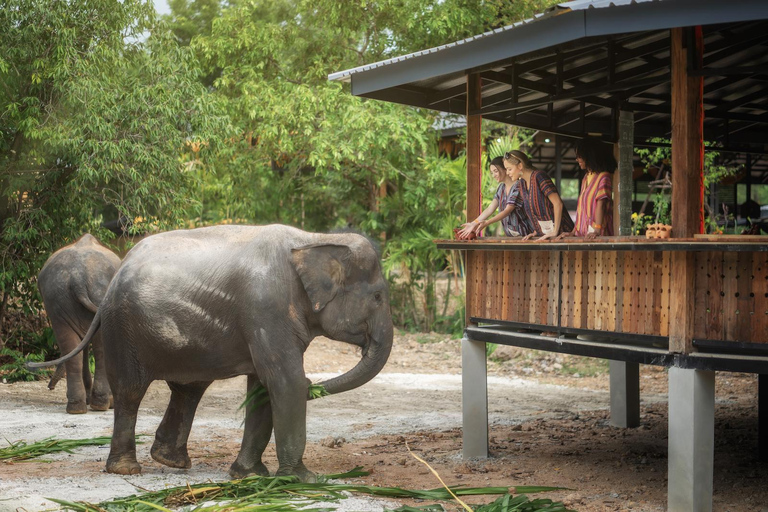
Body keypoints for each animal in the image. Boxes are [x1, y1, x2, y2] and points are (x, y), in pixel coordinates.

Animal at [38, 234, 121, 414]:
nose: (50, 387)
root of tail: (78, 278)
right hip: (94, 293)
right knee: (99, 347)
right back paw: (100, 405)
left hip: (57, 299)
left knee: (70, 346)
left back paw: (77, 407)